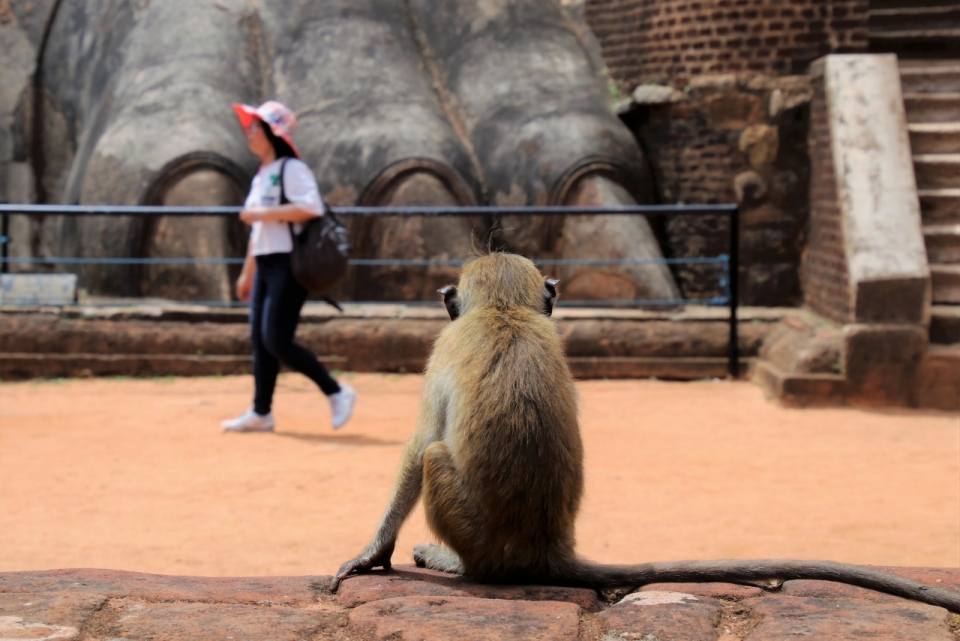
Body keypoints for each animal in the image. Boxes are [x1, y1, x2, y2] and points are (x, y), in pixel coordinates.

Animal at [332, 251, 960, 616]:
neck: (505, 310)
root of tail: (546, 548)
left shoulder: (442, 350)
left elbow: (418, 445)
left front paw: (372, 553)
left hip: (480, 538)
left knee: (436, 455)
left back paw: (458, 566)